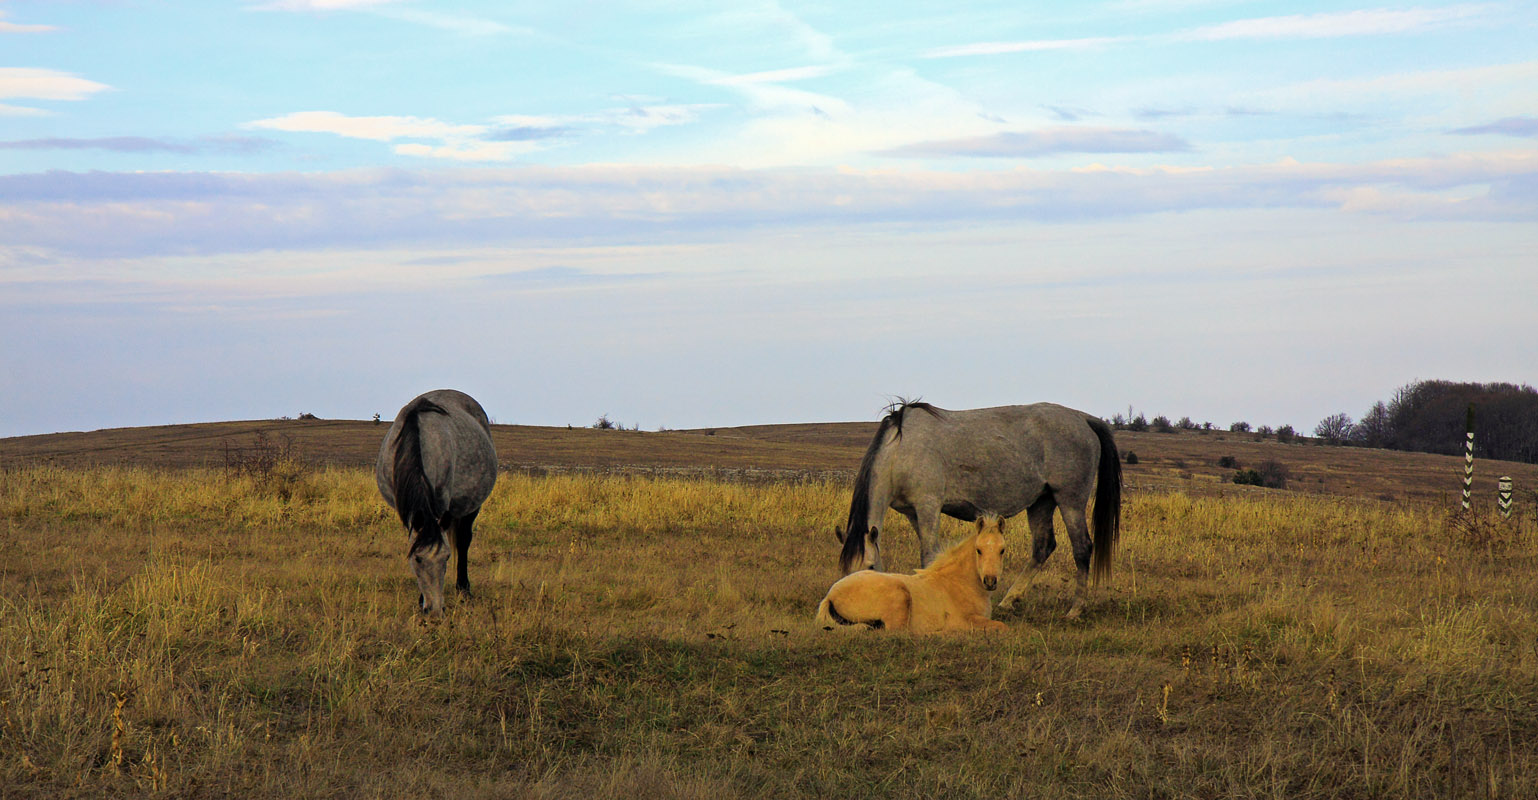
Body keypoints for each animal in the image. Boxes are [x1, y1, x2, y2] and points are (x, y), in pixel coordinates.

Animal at [375, 390, 495, 615]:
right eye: (417, 559)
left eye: (446, 558)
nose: (436, 611)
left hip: (471, 508)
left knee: (464, 541)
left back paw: (464, 590)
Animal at [818, 516, 1008, 633]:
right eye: (978, 550)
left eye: (1002, 550)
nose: (990, 581)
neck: (959, 582)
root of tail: (830, 596)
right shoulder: (967, 619)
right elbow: (1001, 626)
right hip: (900, 596)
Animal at [836, 400, 1125, 618]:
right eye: (845, 571)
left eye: (870, 567)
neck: (901, 449)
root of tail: (1084, 419)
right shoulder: (912, 513)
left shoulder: (928, 506)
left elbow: (929, 554)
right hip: (1042, 501)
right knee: (1043, 546)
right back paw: (1009, 600)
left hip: (1070, 500)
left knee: (1082, 548)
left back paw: (1075, 610)